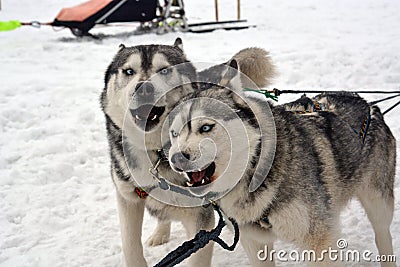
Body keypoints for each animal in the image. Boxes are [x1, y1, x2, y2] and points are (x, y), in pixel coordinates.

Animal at [100, 40, 276, 267]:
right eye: (128, 71)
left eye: (164, 70)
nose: (144, 87)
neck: (156, 152)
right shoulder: (127, 200)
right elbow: (130, 246)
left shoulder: (201, 219)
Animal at [166, 59, 396, 266]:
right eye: (174, 134)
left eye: (205, 127)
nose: (175, 158)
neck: (256, 166)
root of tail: (368, 105)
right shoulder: (254, 241)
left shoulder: (319, 241)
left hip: (378, 205)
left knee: (383, 236)